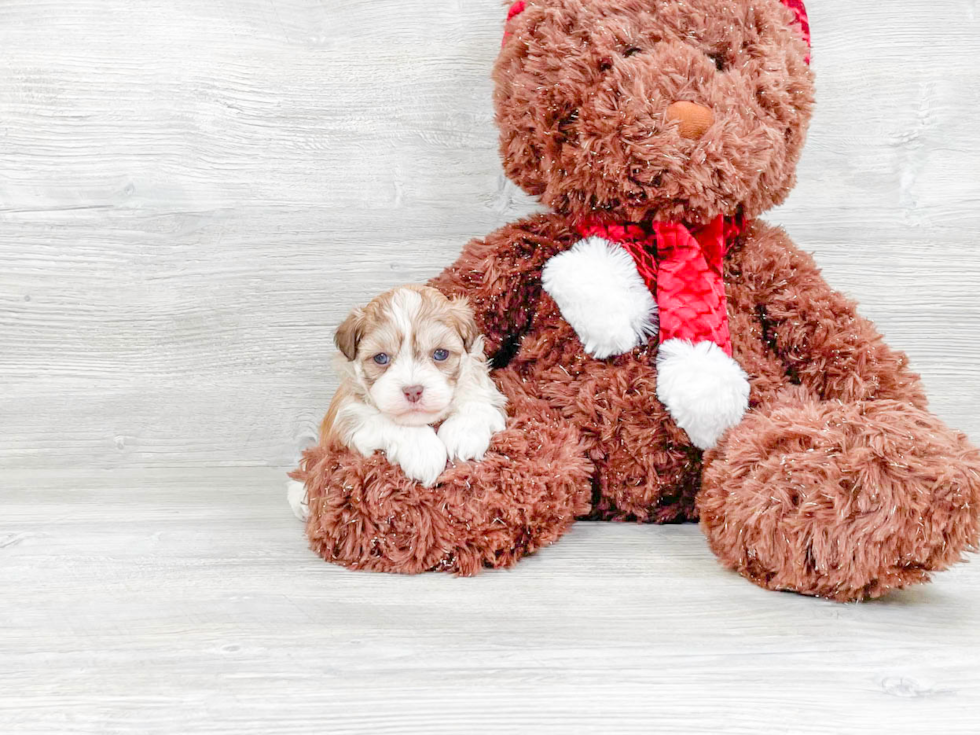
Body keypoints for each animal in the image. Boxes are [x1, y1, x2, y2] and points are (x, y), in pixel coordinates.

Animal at [288, 284, 506, 520]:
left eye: (440, 354)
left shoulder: (484, 386)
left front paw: (463, 434)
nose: (413, 391)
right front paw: (425, 452)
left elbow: (476, 399)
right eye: (381, 358)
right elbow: (389, 422)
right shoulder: (347, 414)